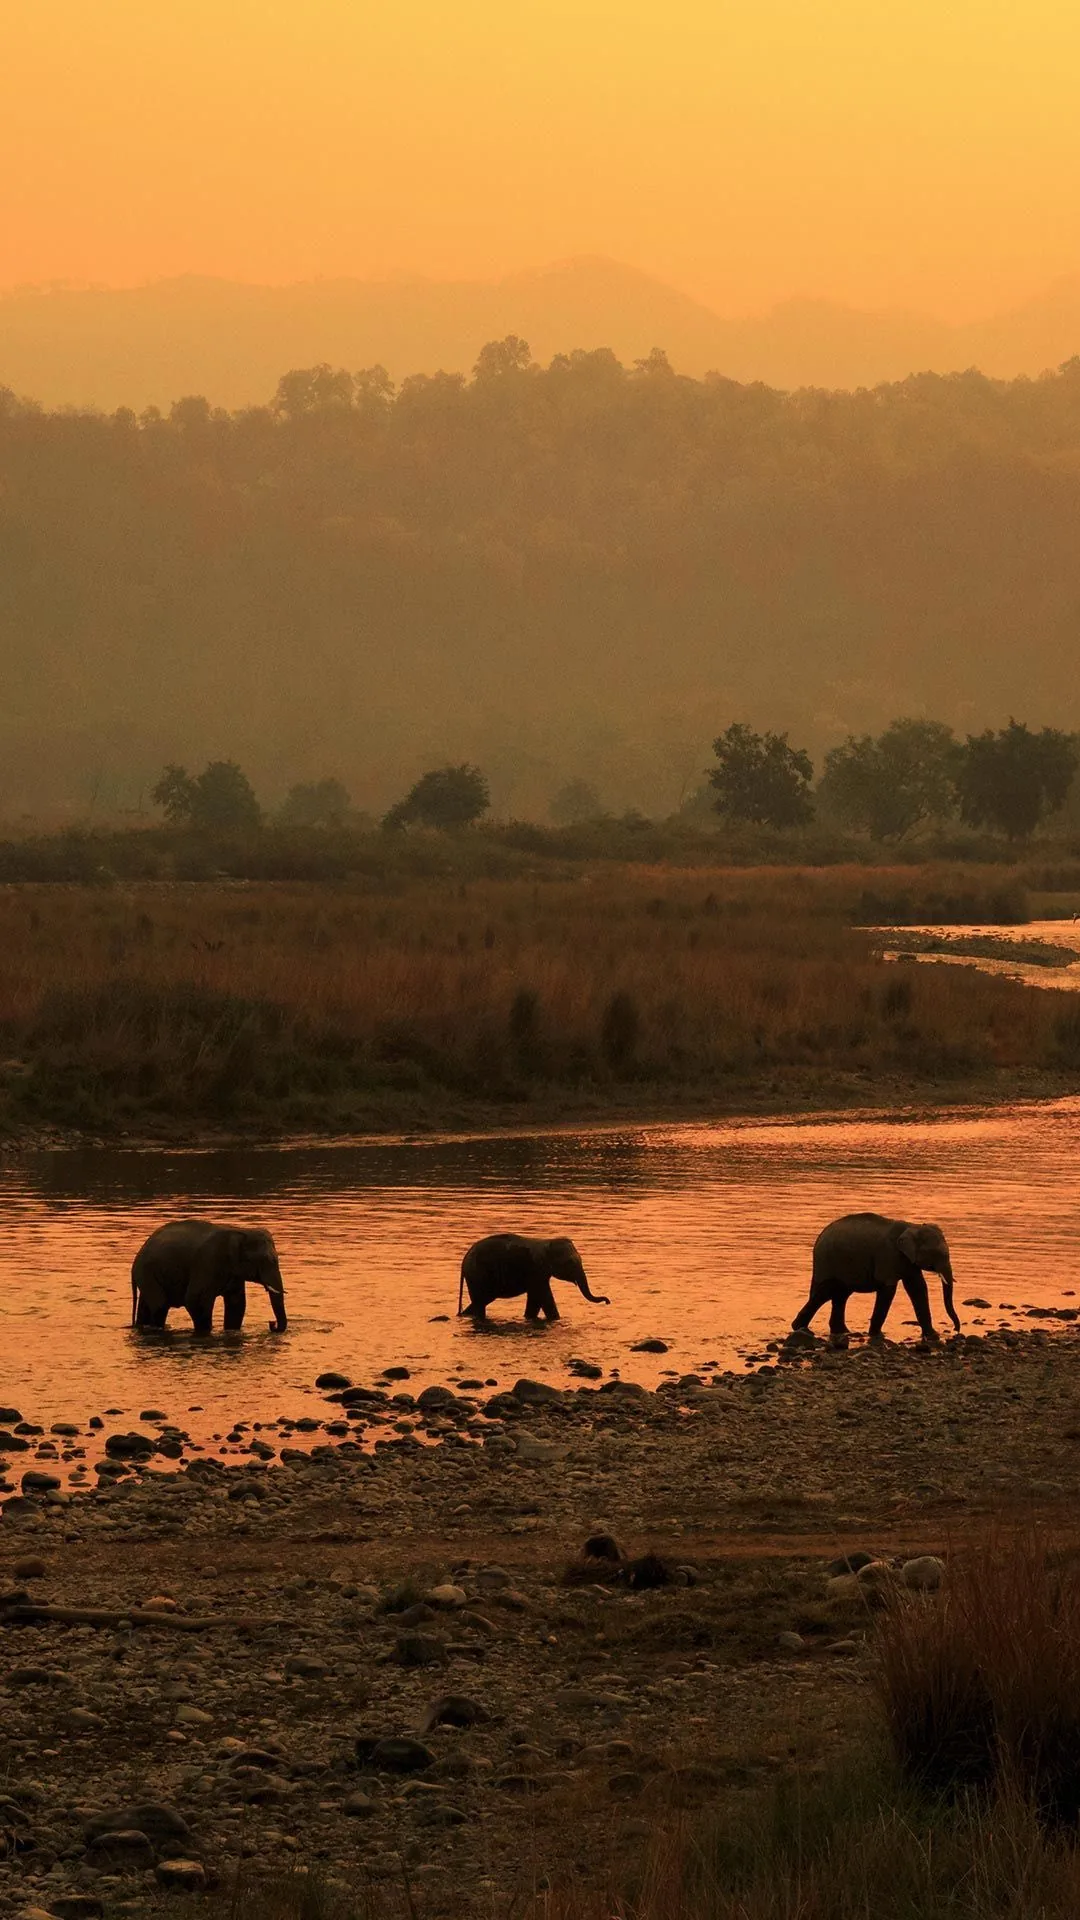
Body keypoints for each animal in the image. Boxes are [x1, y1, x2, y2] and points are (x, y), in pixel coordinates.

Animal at [131, 1219, 287, 1333]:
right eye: (267, 1261)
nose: (271, 1323)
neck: (240, 1230)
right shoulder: (208, 1261)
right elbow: (195, 1300)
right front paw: (205, 1332)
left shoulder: (234, 1273)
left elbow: (236, 1304)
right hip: (147, 1273)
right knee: (160, 1305)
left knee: (145, 1306)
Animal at [457, 1233, 609, 1321]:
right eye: (570, 1262)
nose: (607, 1301)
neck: (547, 1242)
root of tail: (464, 1261)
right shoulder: (537, 1270)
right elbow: (543, 1296)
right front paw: (555, 1320)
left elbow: (535, 1299)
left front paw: (529, 1318)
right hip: (477, 1276)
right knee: (481, 1302)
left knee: (482, 1301)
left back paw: (465, 1315)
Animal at [791, 1213, 959, 1346]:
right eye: (938, 1254)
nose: (956, 1329)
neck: (912, 1226)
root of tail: (819, 1238)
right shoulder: (888, 1255)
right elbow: (888, 1290)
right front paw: (876, 1335)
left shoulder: (908, 1260)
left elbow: (918, 1288)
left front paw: (933, 1336)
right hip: (828, 1261)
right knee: (826, 1291)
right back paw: (799, 1328)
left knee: (840, 1295)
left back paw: (842, 1331)